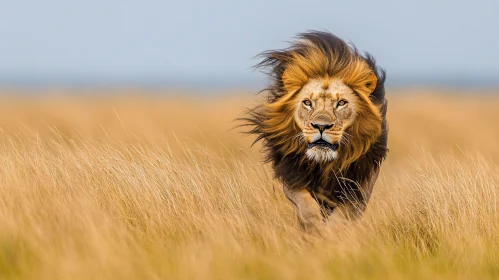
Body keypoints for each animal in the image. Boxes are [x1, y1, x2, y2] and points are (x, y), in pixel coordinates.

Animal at [244, 30, 388, 233]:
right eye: (307, 102)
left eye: (341, 103)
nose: (321, 126)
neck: (325, 164)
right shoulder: (292, 174)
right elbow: (306, 204)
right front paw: (315, 228)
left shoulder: (360, 185)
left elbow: (344, 214)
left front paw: (332, 231)